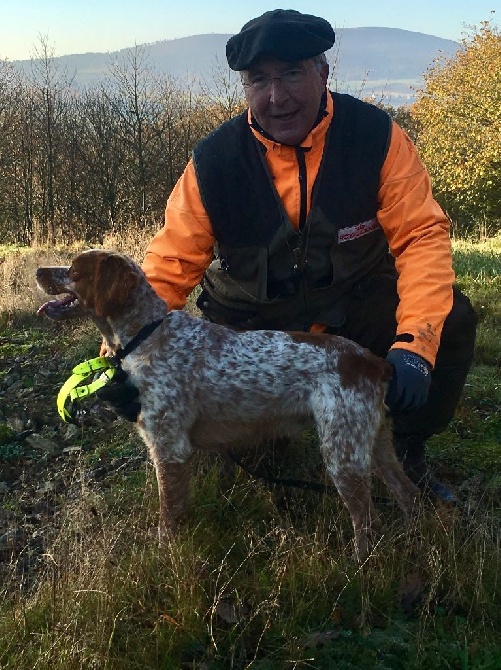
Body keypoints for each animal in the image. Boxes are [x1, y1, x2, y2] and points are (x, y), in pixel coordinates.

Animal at [36, 249, 418, 560]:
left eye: (74, 270)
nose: (39, 270)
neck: (147, 336)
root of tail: (372, 361)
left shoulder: (170, 449)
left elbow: (168, 518)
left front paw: (164, 558)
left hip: (343, 455)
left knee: (368, 521)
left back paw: (359, 568)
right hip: (375, 445)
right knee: (408, 494)